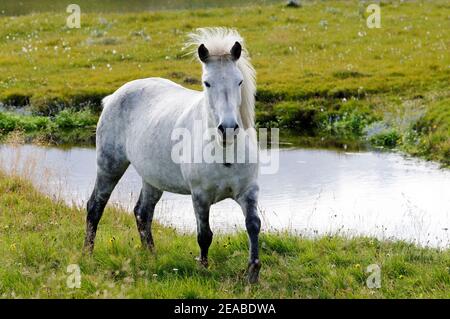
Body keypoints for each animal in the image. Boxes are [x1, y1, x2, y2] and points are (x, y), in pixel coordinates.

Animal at [82, 26, 262, 282]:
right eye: (207, 83)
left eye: (239, 81)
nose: (228, 128)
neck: (224, 151)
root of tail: (113, 97)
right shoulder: (200, 196)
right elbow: (205, 234)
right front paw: (203, 268)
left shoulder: (249, 191)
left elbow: (253, 225)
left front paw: (253, 273)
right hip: (110, 166)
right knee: (95, 206)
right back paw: (87, 254)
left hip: (152, 179)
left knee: (142, 213)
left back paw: (152, 257)